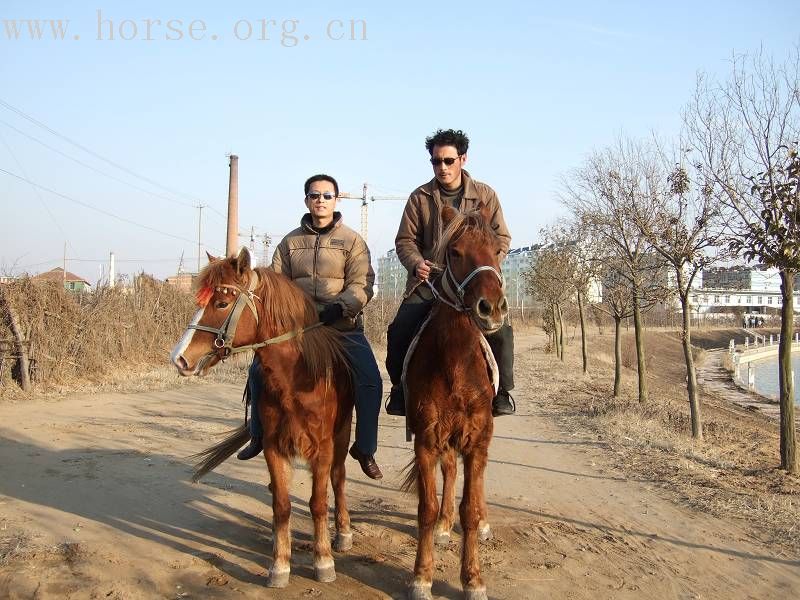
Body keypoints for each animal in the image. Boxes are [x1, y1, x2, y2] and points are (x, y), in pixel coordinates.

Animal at [169, 246, 354, 588]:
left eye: (221, 303)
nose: (179, 358)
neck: (296, 380)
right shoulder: (273, 446)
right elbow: (281, 503)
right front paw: (279, 563)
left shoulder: (322, 449)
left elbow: (318, 502)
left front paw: (323, 561)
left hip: (342, 434)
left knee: (339, 477)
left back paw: (344, 533)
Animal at [404, 205, 510, 600]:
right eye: (455, 252)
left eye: (497, 250)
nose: (491, 308)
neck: (456, 364)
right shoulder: (426, 439)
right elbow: (427, 507)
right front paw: (422, 576)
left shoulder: (477, 439)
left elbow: (470, 507)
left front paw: (473, 579)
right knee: (450, 471)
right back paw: (444, 525)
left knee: (474, 484)